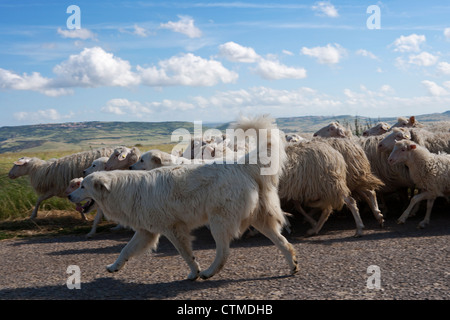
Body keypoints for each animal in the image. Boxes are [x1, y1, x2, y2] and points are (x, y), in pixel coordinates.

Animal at [68, 115, 298, 280]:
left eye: (83, 186)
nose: (69, 195)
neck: (125, 188)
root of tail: (240, 164)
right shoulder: (145, 232)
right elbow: (126, 250)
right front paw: (114, 267)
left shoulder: (173, 229)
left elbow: (186, 255)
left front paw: (194, 272)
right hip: (258, 219)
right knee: (283, 243)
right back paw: (292, 265)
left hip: (219, 221)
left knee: (224, 252)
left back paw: (209, 272)